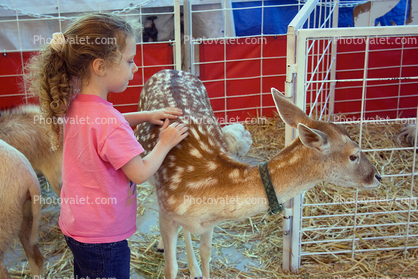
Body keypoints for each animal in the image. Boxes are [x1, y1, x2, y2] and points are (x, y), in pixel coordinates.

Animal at [136, 69, 380, 278]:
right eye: (354, 155)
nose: (377, 176)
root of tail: (170, 70)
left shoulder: (208, 223)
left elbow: (207, 255)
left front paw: (198, 269)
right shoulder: (168, 210)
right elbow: (171, 268)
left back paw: (193, 267)